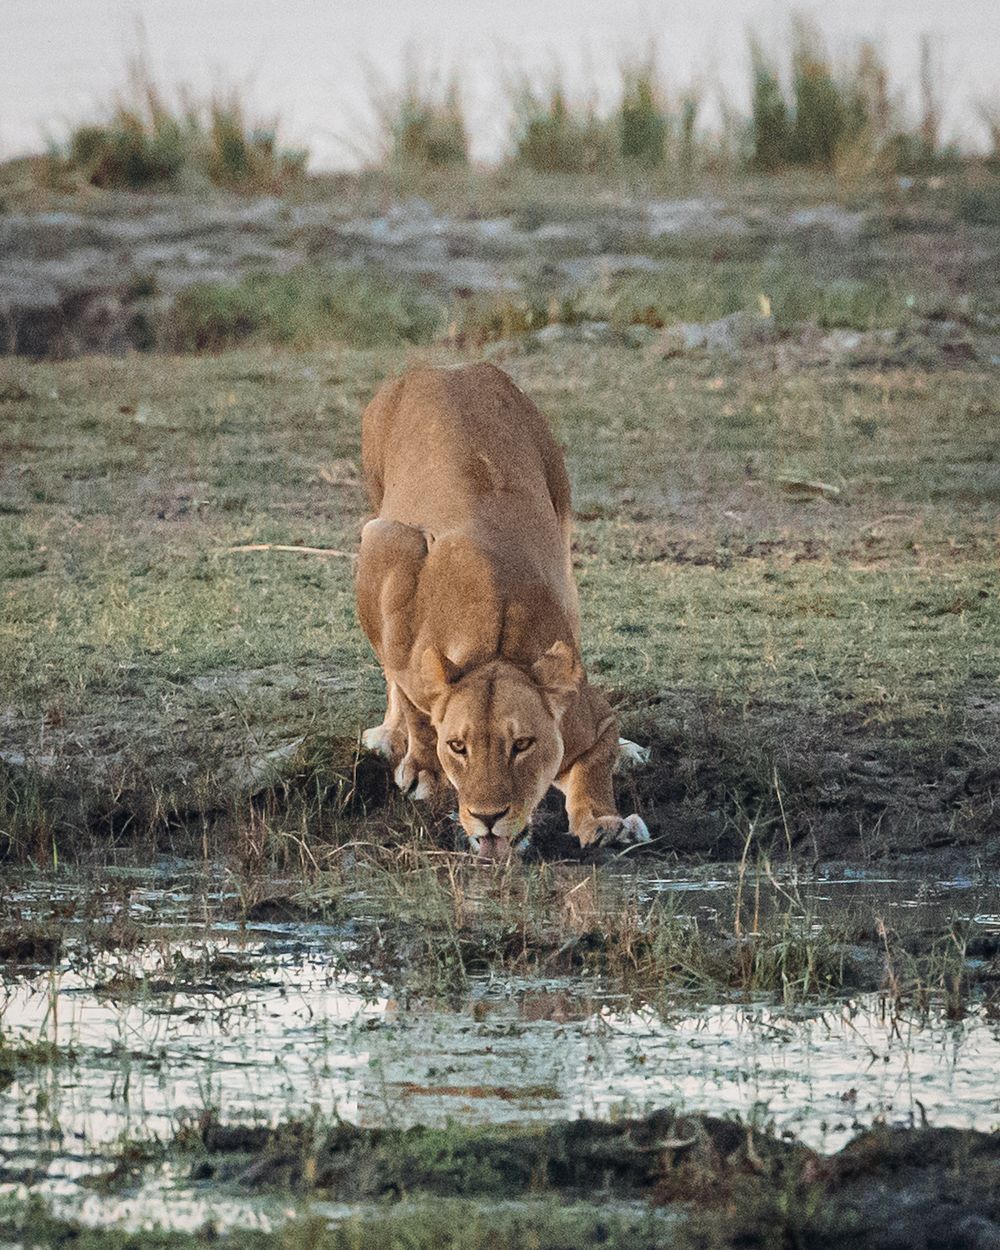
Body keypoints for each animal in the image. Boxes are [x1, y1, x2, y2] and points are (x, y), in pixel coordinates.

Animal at [356, 362, 649, 856]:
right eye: (459, 747)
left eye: (523, 744)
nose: (488, 818)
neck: (495, 646)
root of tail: (443, 367)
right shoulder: (394, 560)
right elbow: (415, 707)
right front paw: (424, 771)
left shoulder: (591, 716)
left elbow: (595, 765)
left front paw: (605, 821)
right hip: (380, 530)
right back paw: (389, 737)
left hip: (563, 537)